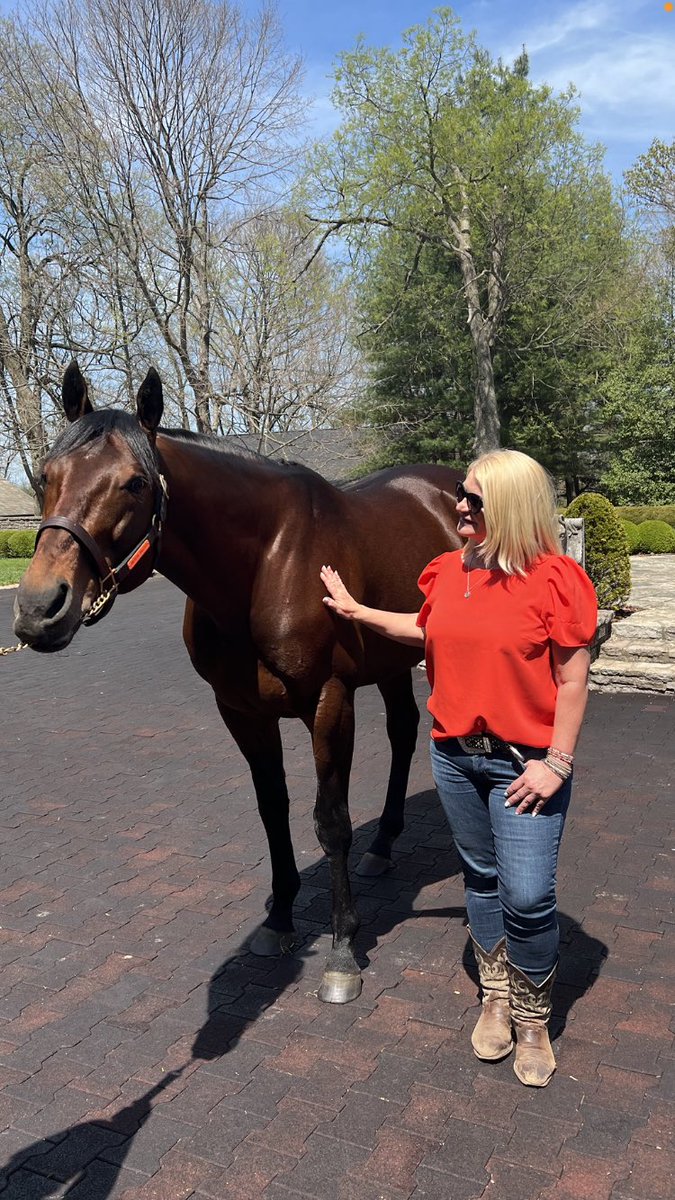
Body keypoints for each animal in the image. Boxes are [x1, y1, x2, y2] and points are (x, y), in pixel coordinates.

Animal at [14, 362, 456, 1003]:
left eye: (134, 484)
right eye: (47, 475)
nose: (39, 608)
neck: (267, 561)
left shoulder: (330, 702)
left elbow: (331, 820)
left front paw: (342, 950)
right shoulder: (241, 710)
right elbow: (272, 809)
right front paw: (279, 921)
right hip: (392, 661)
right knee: (403, 730)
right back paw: (382, 847)